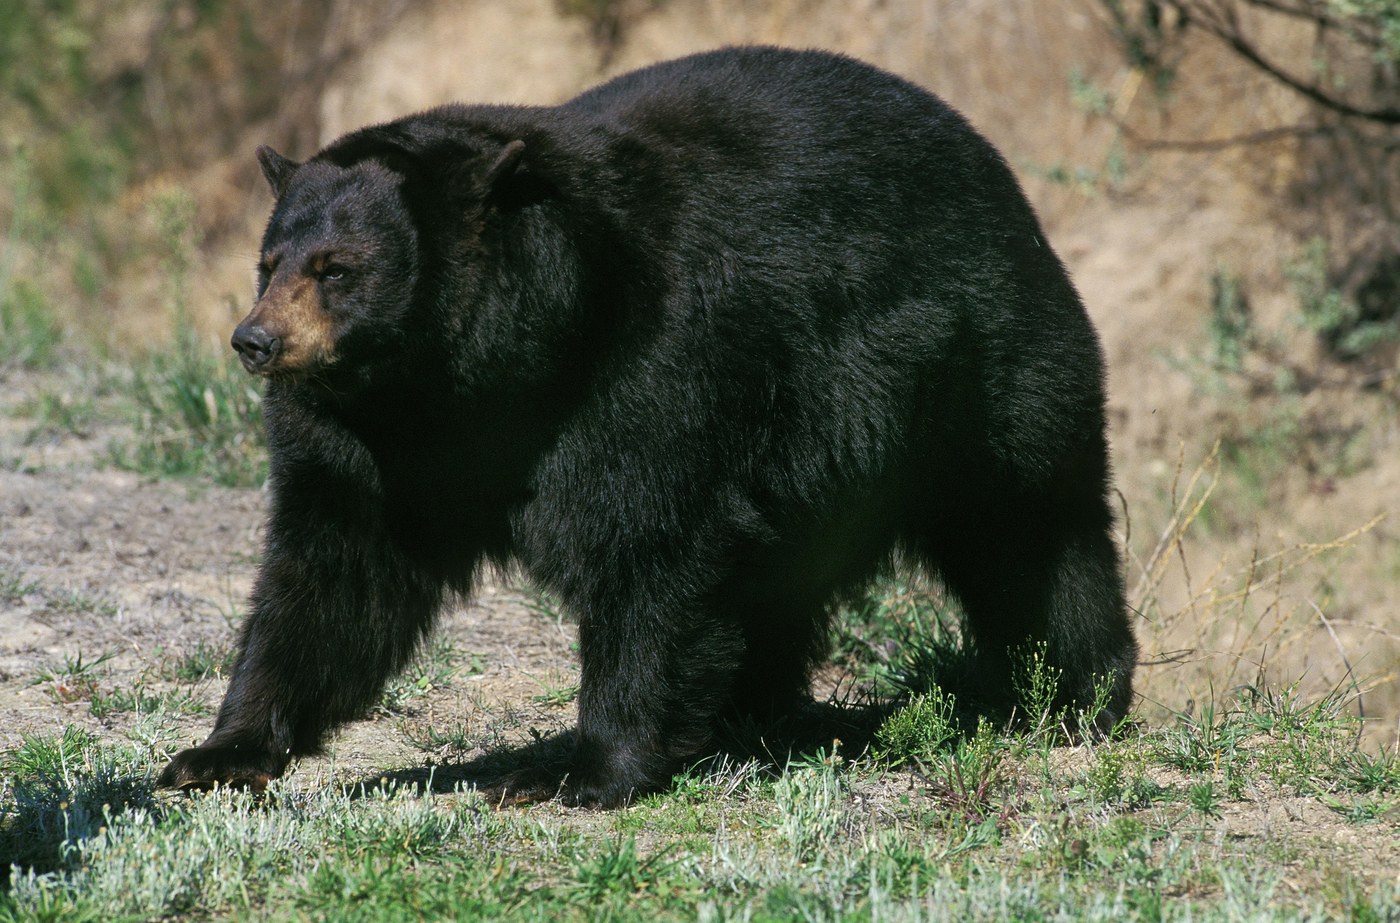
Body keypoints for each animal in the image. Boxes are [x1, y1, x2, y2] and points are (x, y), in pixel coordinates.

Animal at [158, 46, 1137, 808]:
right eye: (268, 262)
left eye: (337, 269)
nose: (255, 341)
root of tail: (1000, 174)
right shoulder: (370, 442)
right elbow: (333, 569)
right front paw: (219, 751)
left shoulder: (656, 360)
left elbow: (651, 541)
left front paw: (577, 769)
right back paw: (752, 712)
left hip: (983, 374)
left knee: (1031, 535)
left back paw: (1071, 693)